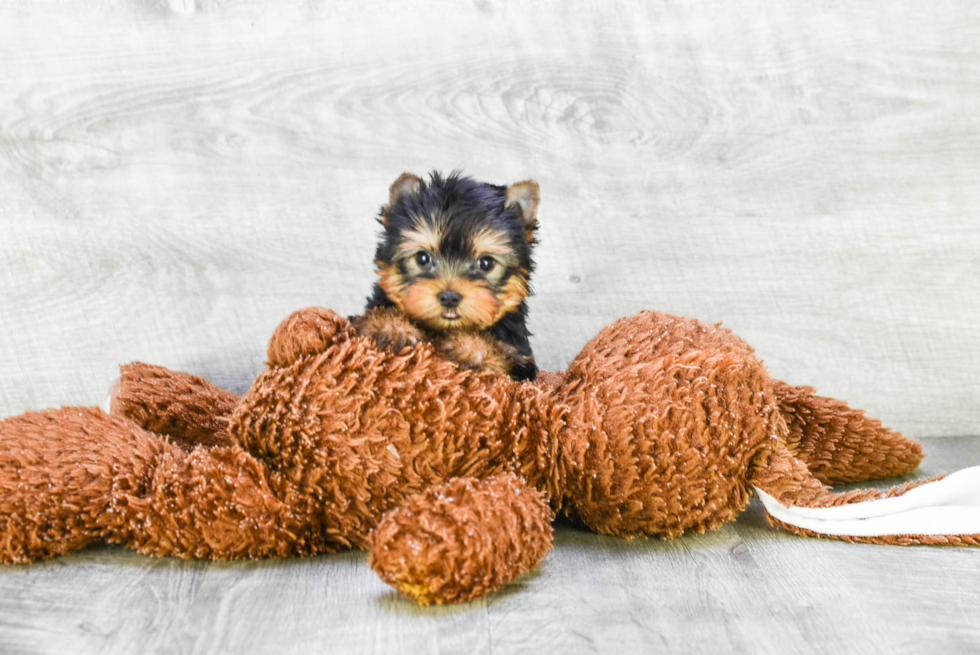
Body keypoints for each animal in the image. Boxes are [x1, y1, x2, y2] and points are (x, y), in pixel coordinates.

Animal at [352, 172, 540, 382]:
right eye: (422, 258)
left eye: (486, 263)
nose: (449, 297)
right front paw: (392, 327)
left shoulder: (520, 358)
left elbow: (503, 356)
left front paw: (472, 347)